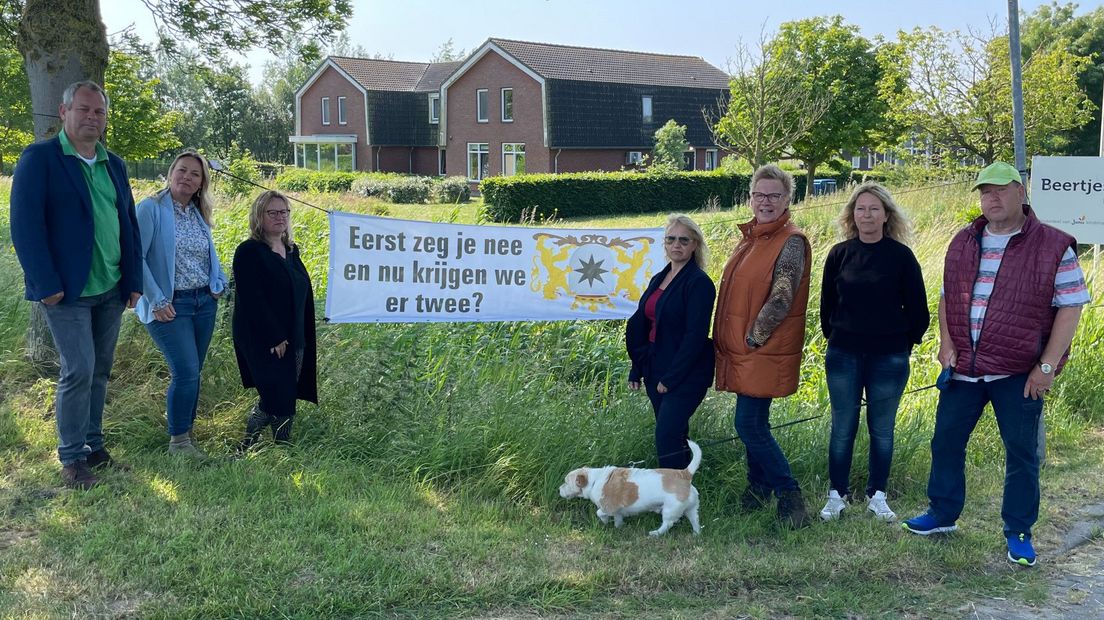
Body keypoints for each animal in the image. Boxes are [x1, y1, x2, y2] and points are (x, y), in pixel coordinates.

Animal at [556, 436, 702, 533]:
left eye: (565, 482)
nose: (558, 489)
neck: (594, 480)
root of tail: (685, 474)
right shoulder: (617, 511)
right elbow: (618, 518)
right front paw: (618, 527)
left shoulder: (608, 506)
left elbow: (600, 512)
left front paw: (604, 521)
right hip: (691, 508)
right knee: (695, 520)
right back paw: (696, 534)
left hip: (670, 509)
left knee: (667, 524)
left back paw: (655, 533)